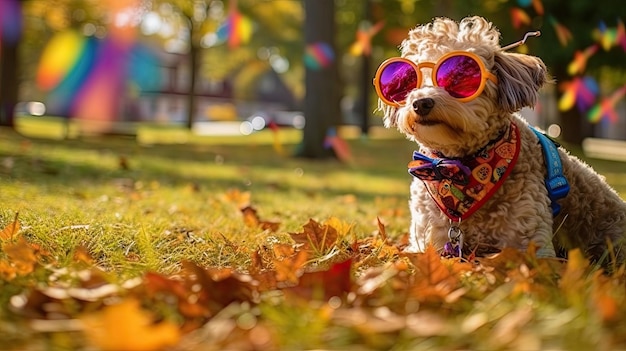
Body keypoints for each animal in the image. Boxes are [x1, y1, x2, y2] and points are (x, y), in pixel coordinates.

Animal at [372, 15, 624, 266]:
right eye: (408, 82)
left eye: (461, 78)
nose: (421, 102)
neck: (459, 167)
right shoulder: (430, 239)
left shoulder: (528, 242)